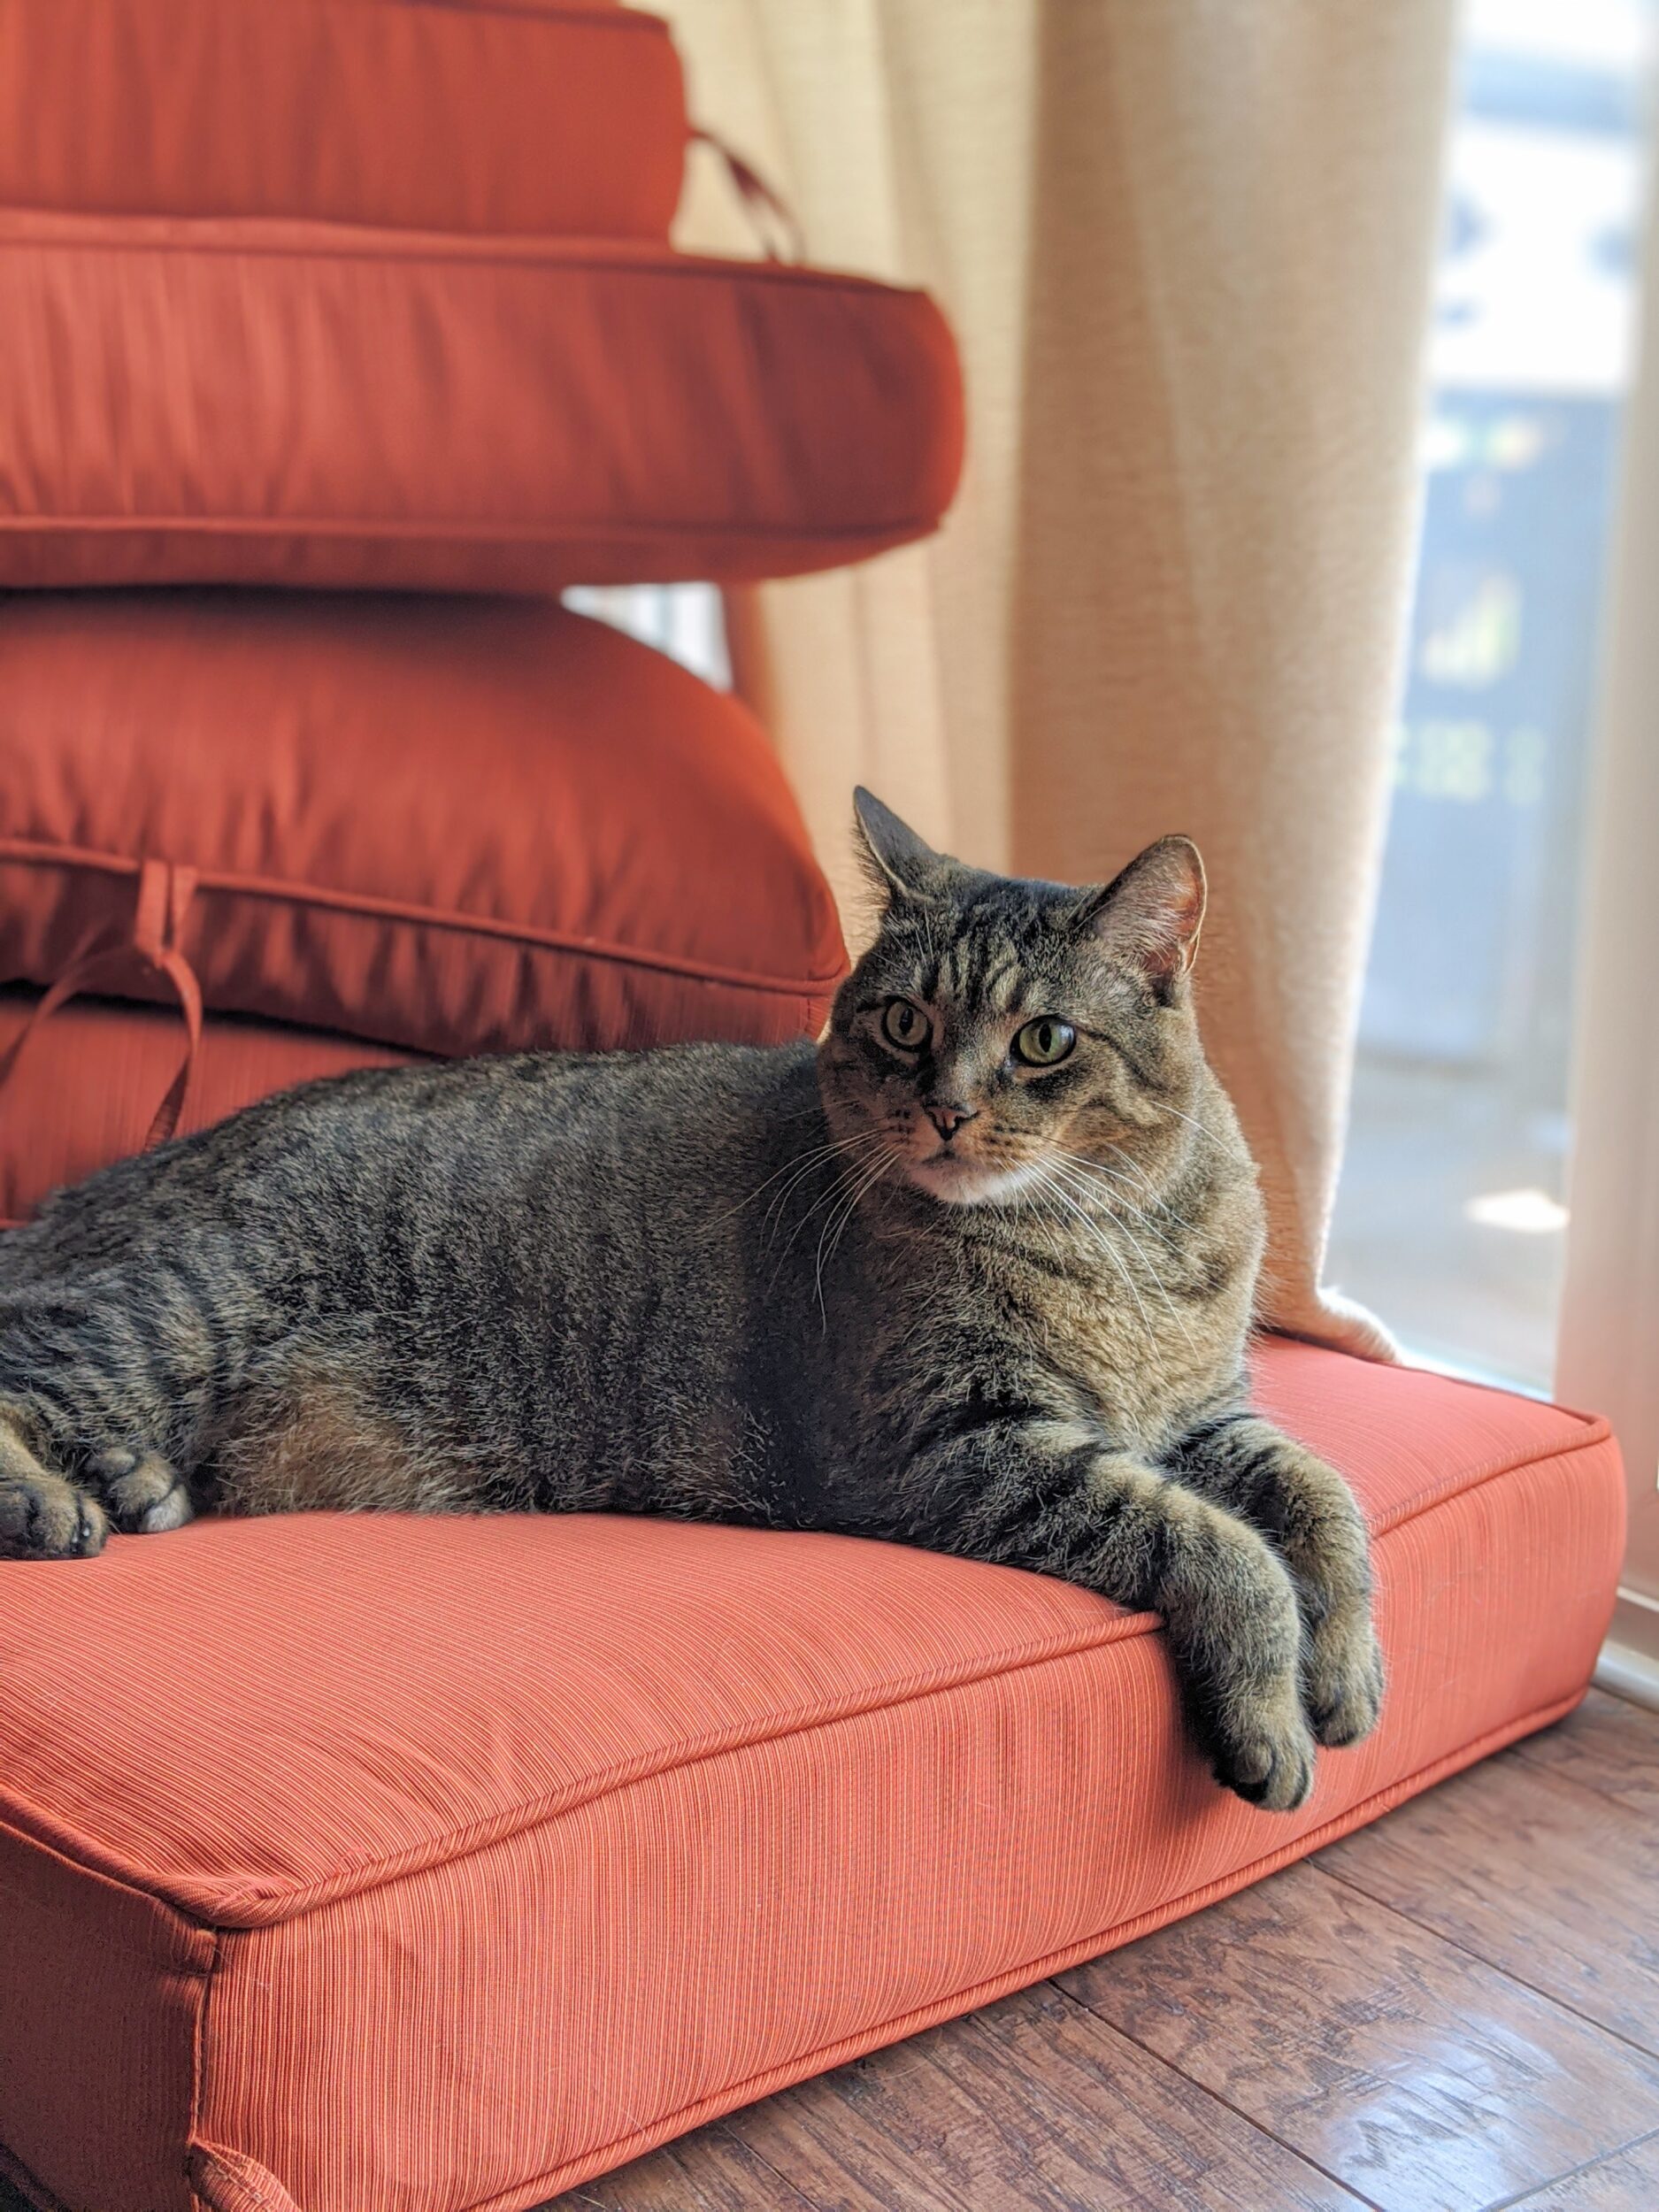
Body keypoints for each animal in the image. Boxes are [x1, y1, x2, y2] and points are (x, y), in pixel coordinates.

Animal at [0, 796, 1380, 1814]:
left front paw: (1348, 1663)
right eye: (901, 1019)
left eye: (1044, 1040)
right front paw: (1273, 1707)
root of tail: (111, 1178)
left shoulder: (1204, 1416)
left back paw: (136, 1482)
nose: (943, 1108)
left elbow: (1323, 1499)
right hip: (184, 1305)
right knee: (27, 1352)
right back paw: (52, 1499)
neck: (1118, 1246)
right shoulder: (946, 1444)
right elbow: (1218, 1545)